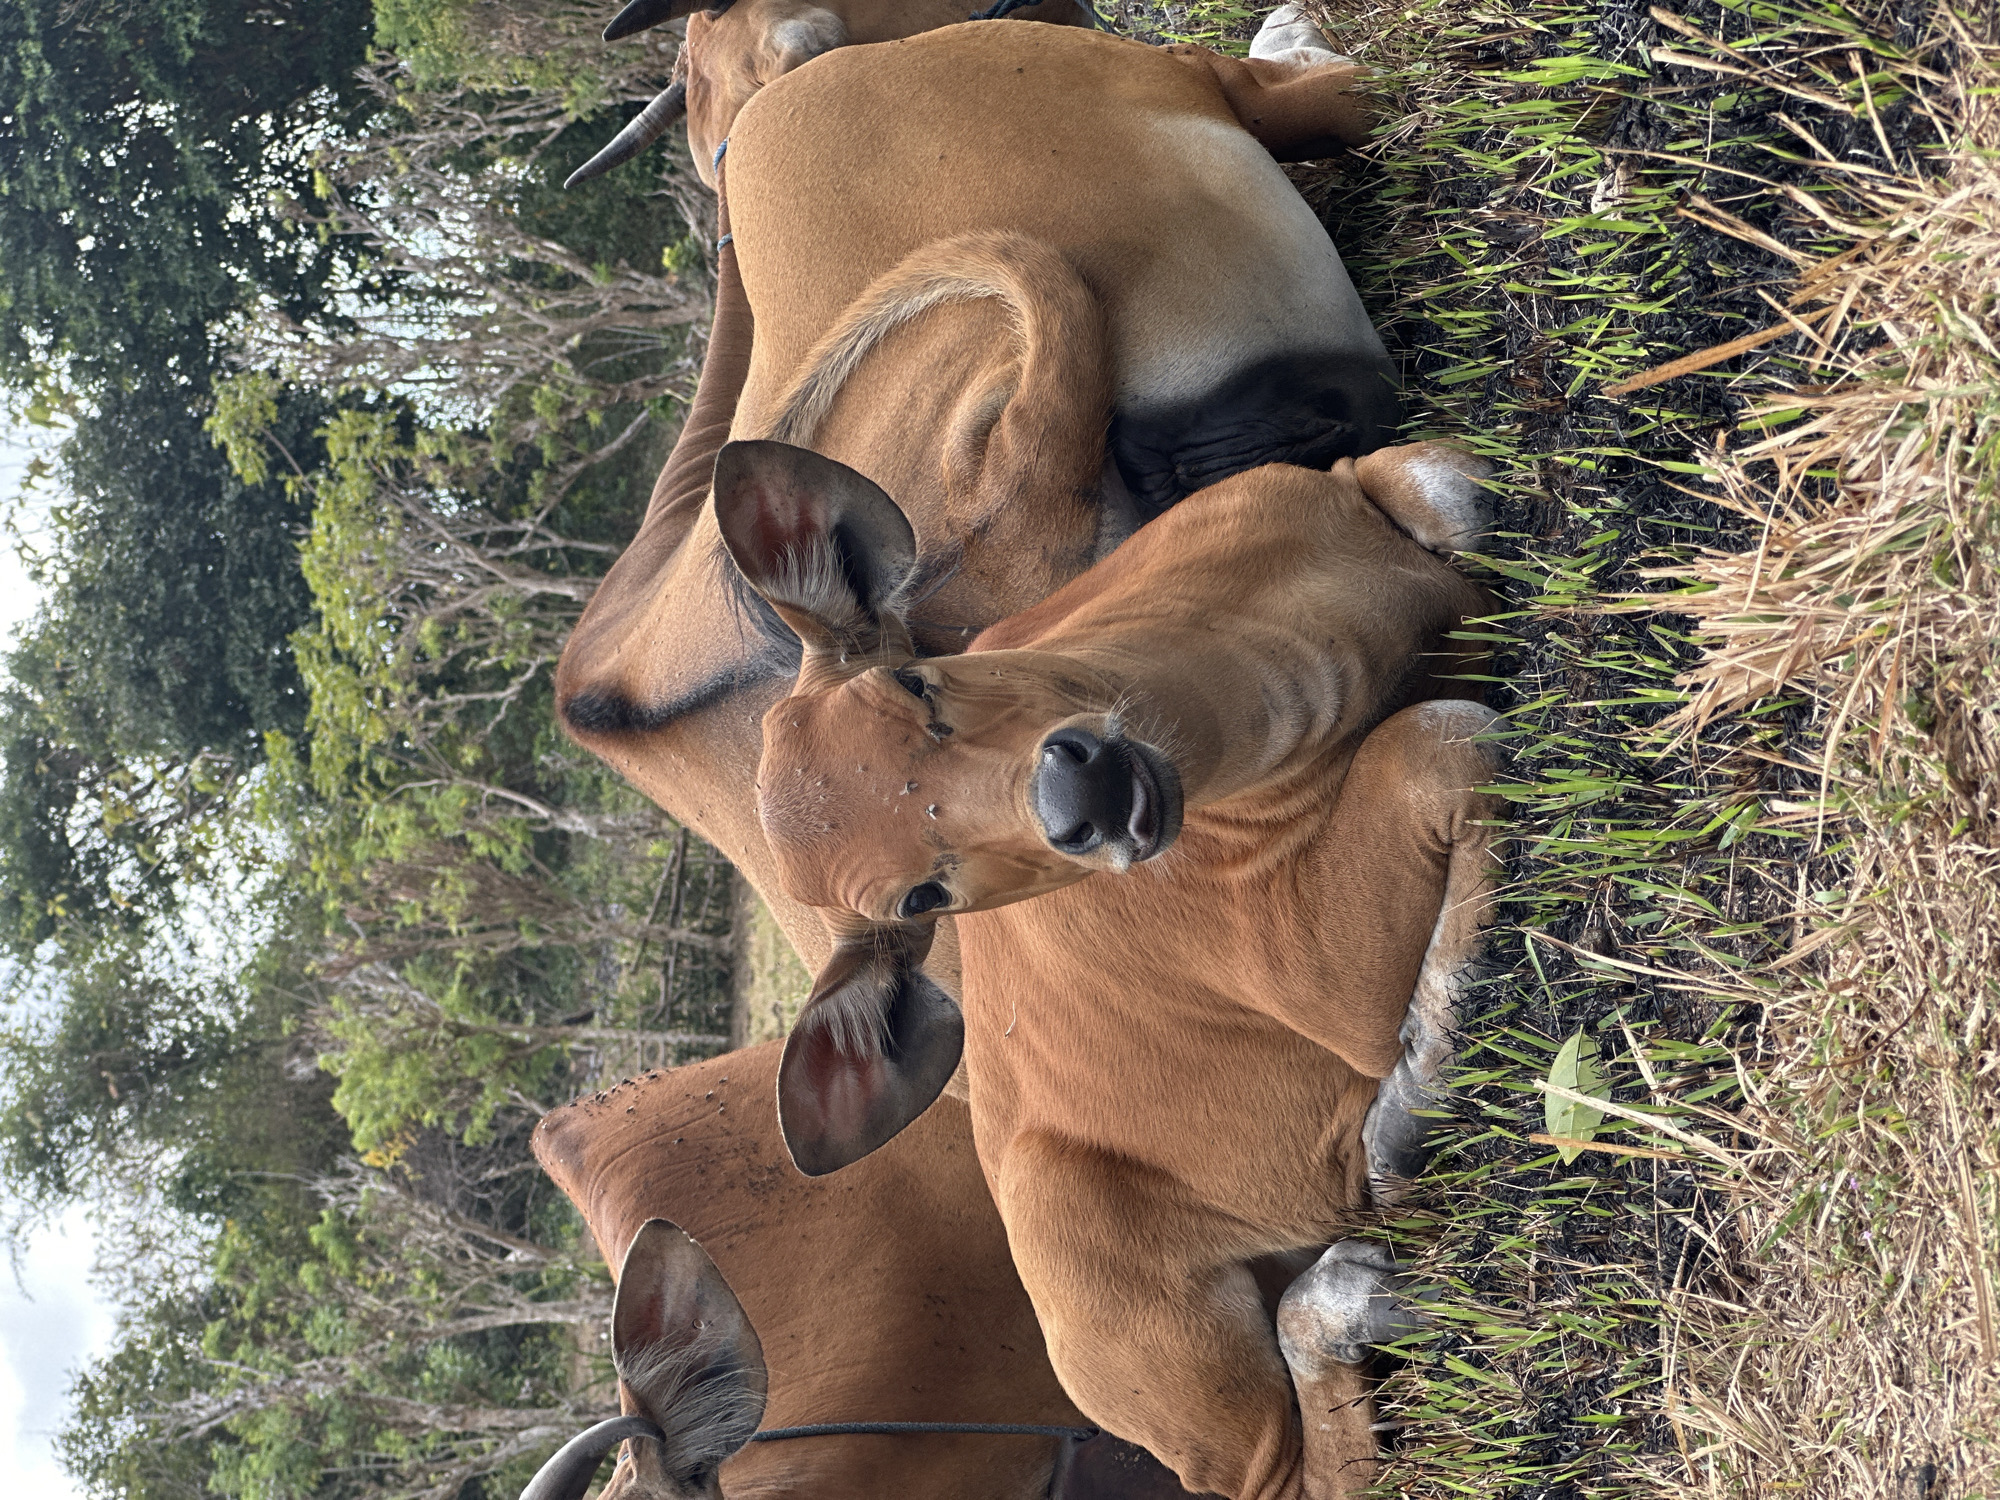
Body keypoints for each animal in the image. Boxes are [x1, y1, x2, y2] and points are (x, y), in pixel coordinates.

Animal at [710, 436, 1506, 1499]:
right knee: (1302, 1469)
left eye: (915, 682)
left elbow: (1446, 483)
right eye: (922, 900)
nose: (1076, 797)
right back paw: (1360, 1283)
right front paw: (1412, 1101)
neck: (1286, 684)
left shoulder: (1359, 482)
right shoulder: (1337, 990)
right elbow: (1444, 737)